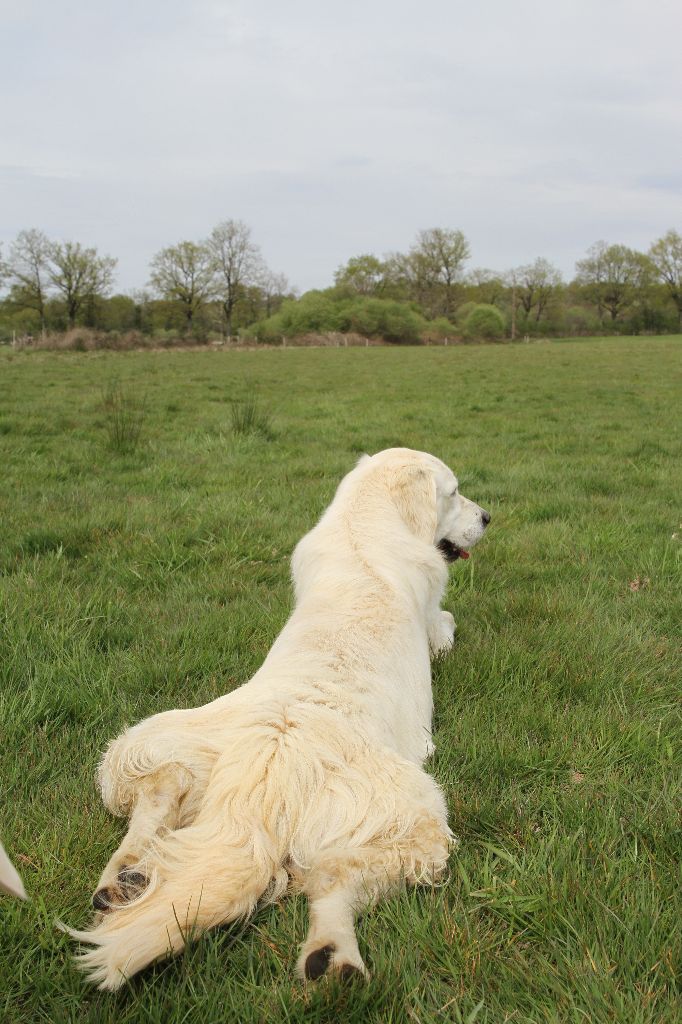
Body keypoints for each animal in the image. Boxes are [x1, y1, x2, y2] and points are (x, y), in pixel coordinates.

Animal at [67, 450, 489, 991]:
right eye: (454, 492)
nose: (487, 518)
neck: (362, 529)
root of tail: (265, 782)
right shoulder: (436, 615)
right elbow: (448, 625)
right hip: (419, 820)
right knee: (332, 878)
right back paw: (332, 956)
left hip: (146, 739)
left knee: (160, 789)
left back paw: (126, 876)